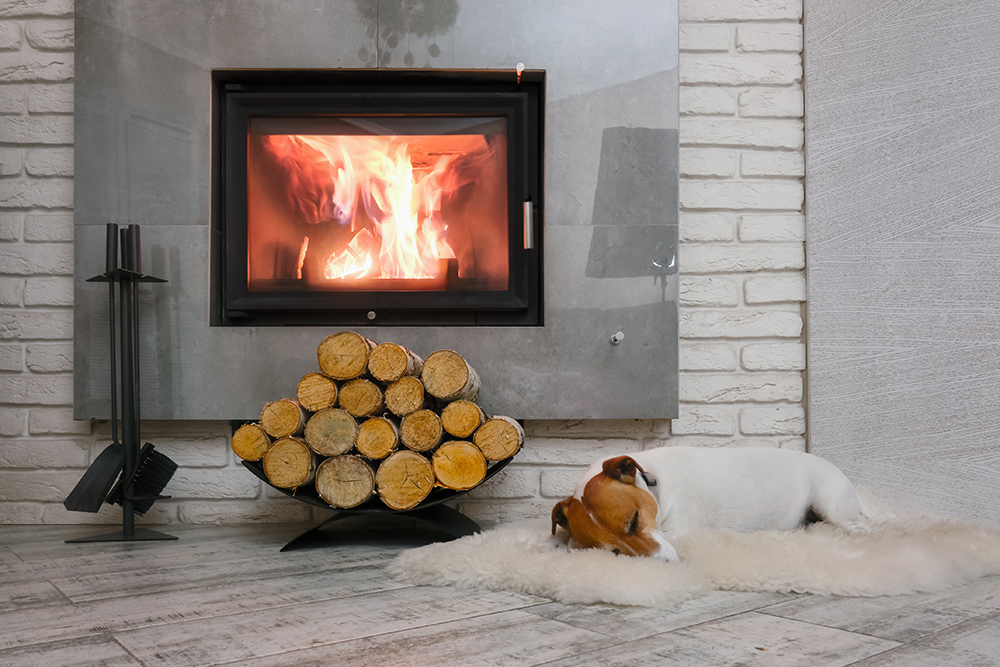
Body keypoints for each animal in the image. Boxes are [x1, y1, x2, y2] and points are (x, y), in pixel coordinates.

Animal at [552, 446, 872, 560]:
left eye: (634, 520)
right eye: (614, 552)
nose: (663, 564)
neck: (655, 484)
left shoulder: (680, 529)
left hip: (830, 504)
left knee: (861, 527)